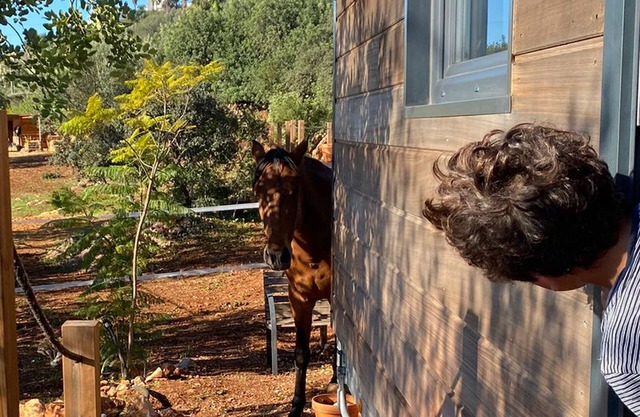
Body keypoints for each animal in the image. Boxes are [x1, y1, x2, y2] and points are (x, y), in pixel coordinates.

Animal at [251, 139, 334, 417]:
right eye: (258, 189)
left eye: (293, 188)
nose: (277, 255)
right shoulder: (299, 298)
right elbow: (300, 353)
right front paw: (296, 406)